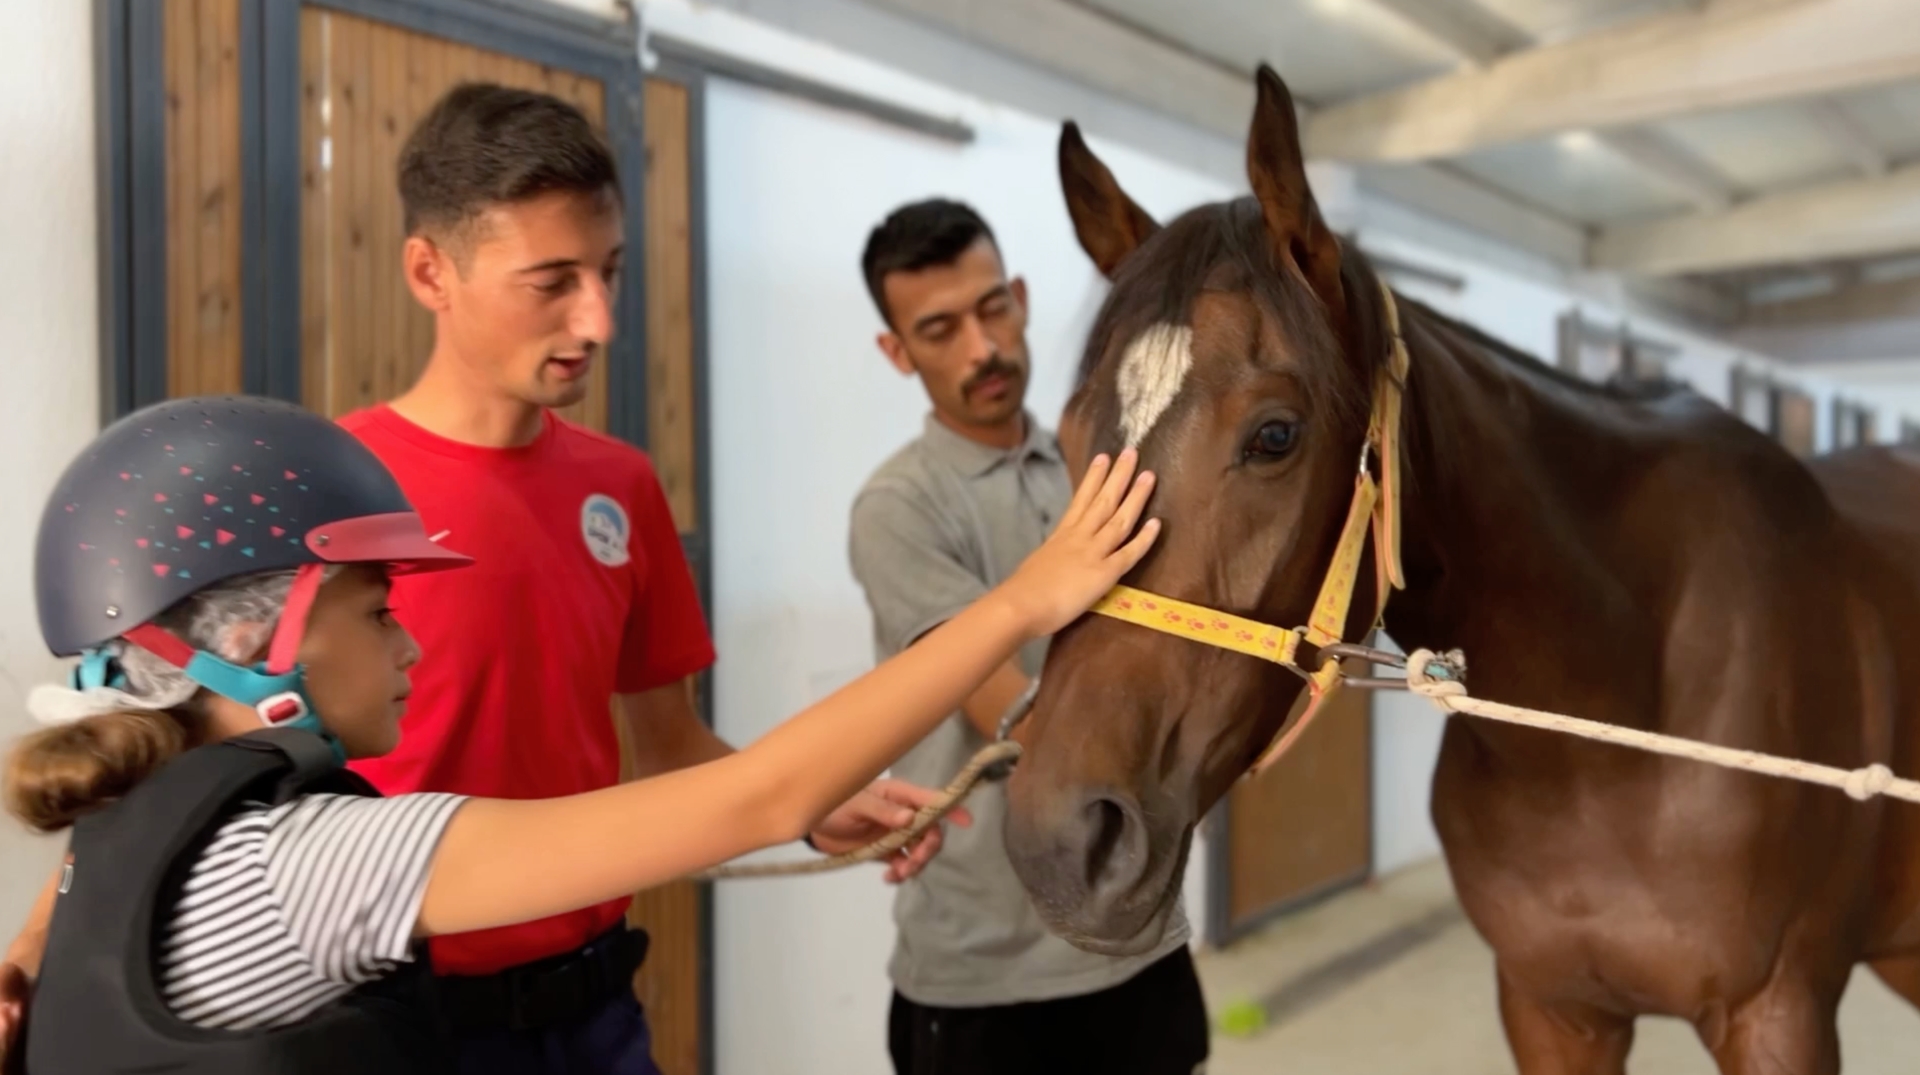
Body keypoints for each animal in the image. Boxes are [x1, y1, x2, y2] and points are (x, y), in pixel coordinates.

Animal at [998, 62, 1920, 1067]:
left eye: (1275, 435)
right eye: (1071, 434)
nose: (1057, 842)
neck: (1611, 729)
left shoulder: (1779, 1012)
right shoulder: (1549, 1006)